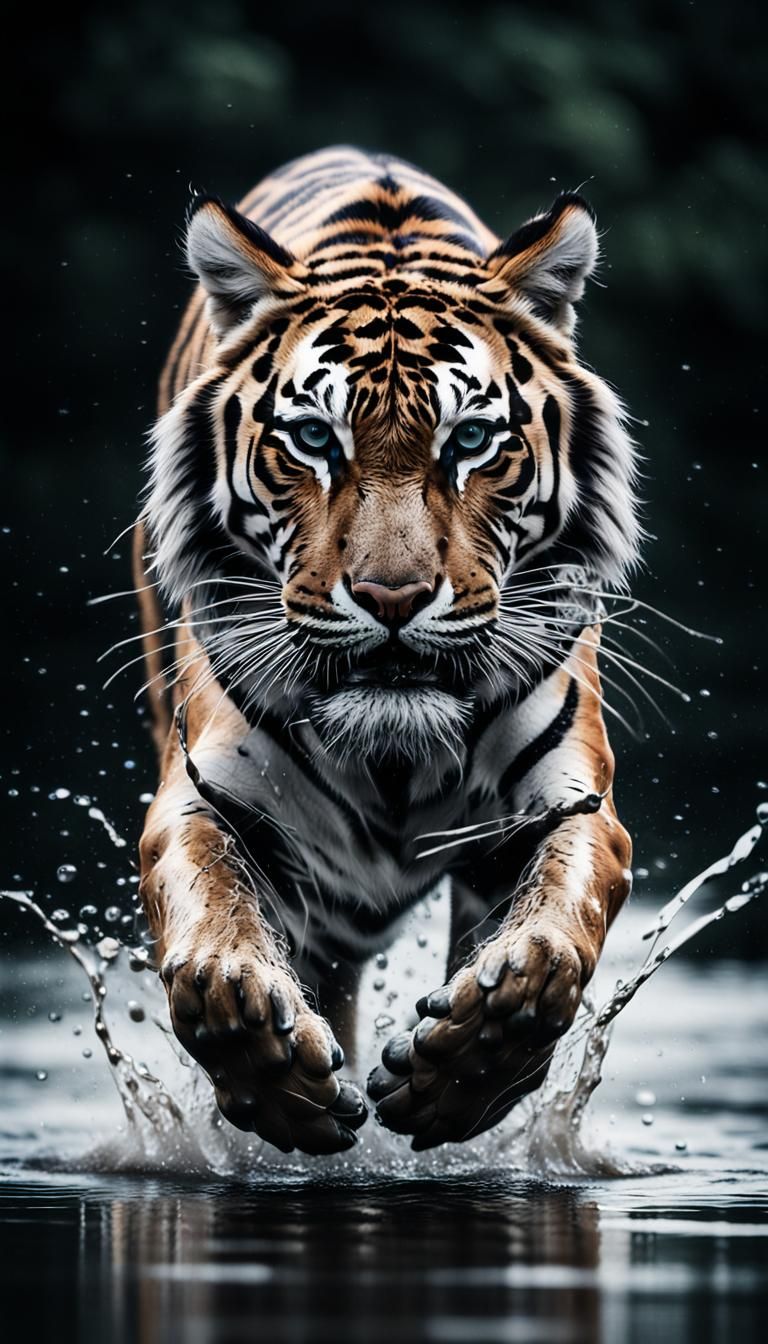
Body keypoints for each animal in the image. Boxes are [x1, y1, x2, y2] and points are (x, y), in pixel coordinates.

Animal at [133, 146, 638, 1156]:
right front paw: (271, 1065)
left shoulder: (572, 800)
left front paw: (462, 1068)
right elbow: (209, 926)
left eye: (472, 439)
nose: (393, 599)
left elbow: (555, 937)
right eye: (313, 438)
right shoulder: (202, 792)